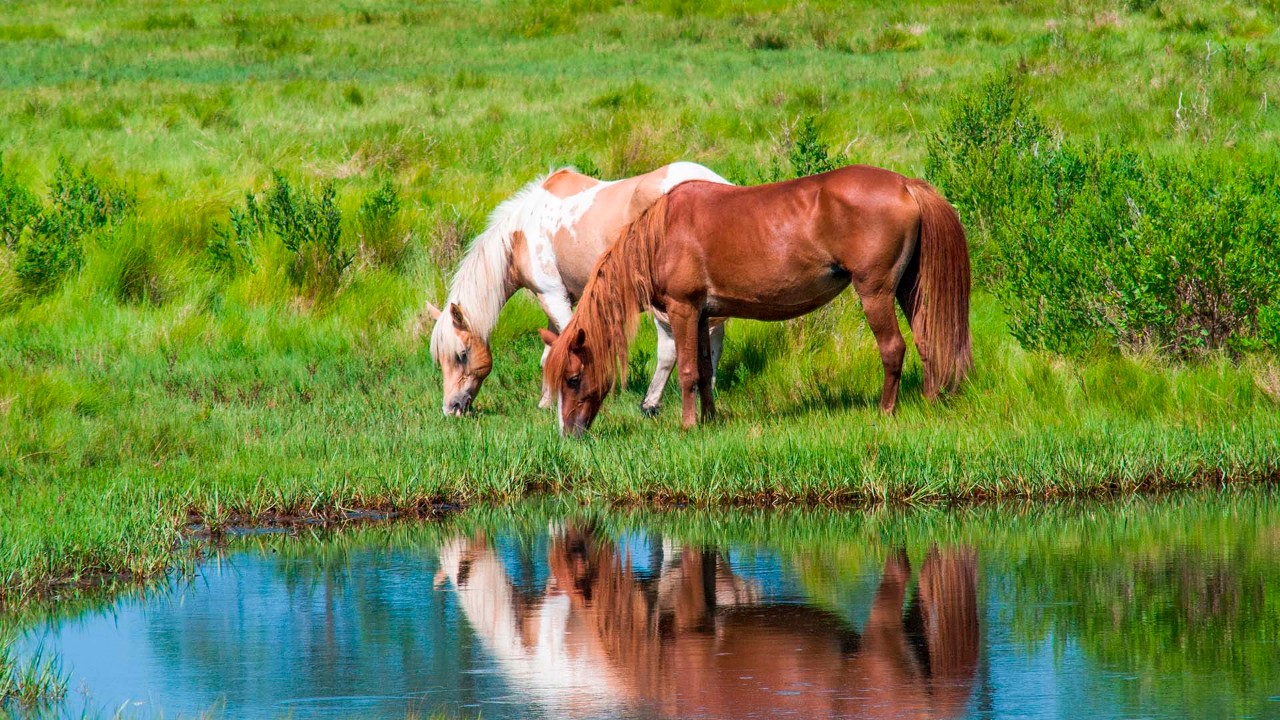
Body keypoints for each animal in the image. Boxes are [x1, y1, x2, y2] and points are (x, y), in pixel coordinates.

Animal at [427, 163, 731, 416]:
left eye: (461, 355)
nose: (451, 409)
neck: (521, 233)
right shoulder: (557, 298)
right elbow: (548, 352)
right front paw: (546, 402)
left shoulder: (552, 296)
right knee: (713, 337)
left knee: (670, 348)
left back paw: (651, 403)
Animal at [541, 165, 971, 435]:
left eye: (573, 378)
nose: (568, 435)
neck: (662, 233)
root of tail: (904, 184)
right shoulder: (702, 314)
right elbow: (704, 369)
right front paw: (710, 419)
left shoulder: (683, 309)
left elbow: (687, 371)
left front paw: (688, 426)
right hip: (909, 289)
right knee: (927, 341)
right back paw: (930, 401)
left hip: (875, 291)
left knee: (894, 348)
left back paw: (885, 411)